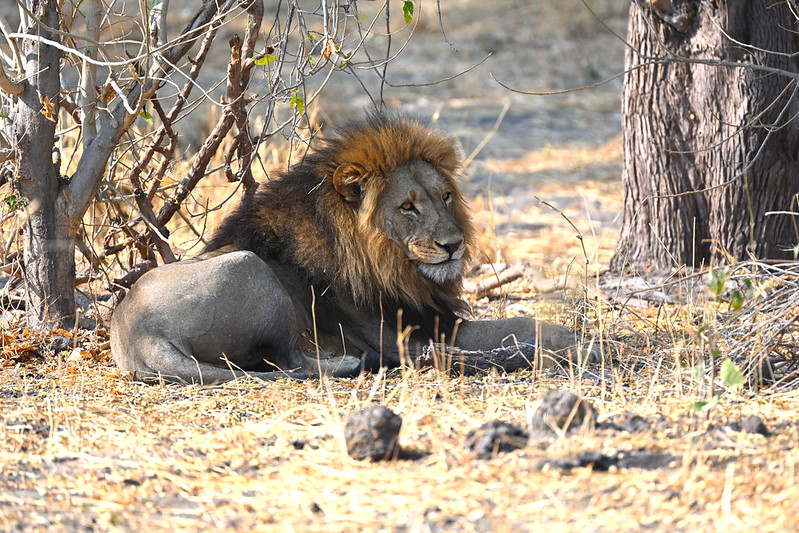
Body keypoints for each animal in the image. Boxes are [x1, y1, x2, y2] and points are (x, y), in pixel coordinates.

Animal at [111, 112, 600, 382]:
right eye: (407, 207)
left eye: (445, 196)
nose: (454, 246)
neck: (392, 263)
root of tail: (139, 333)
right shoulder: (416, 330)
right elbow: (524, 322)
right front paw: (585, 345)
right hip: (251, 270)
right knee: (292, 363)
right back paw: (355, 362)